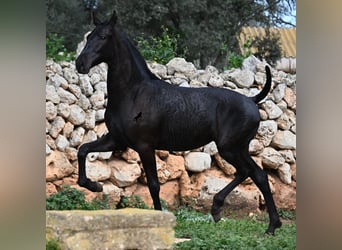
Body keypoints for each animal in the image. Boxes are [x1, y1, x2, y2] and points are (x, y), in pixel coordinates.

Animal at [76, 11, 282, 234]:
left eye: (103, 36)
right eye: (89, 36)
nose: (80, 64)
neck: (133, 93)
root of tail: (252, 100)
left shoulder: (144, 146)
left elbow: (154, 185)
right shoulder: (116, 140)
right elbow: (83, 150)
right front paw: (94, 185)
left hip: (230, 148)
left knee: (254, 174)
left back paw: (265, 224)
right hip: (237, 149)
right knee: (253, 174)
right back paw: (240, 216)